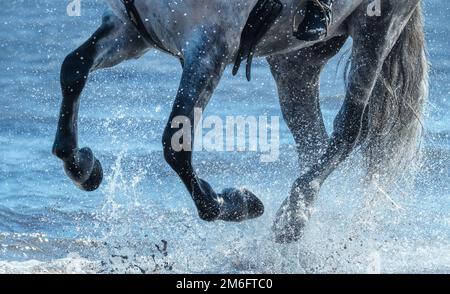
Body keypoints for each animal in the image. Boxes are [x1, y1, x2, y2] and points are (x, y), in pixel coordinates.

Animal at [53, 0, 428, 243]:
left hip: (377, 26)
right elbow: (73, 68)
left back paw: (292, 219)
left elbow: (175, 146)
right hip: (296, 58)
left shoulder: (209, 47)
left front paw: (235, 203)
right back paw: (298, 213)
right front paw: (83, 167)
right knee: (313, 139)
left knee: (349, 129)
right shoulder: (130, 29)